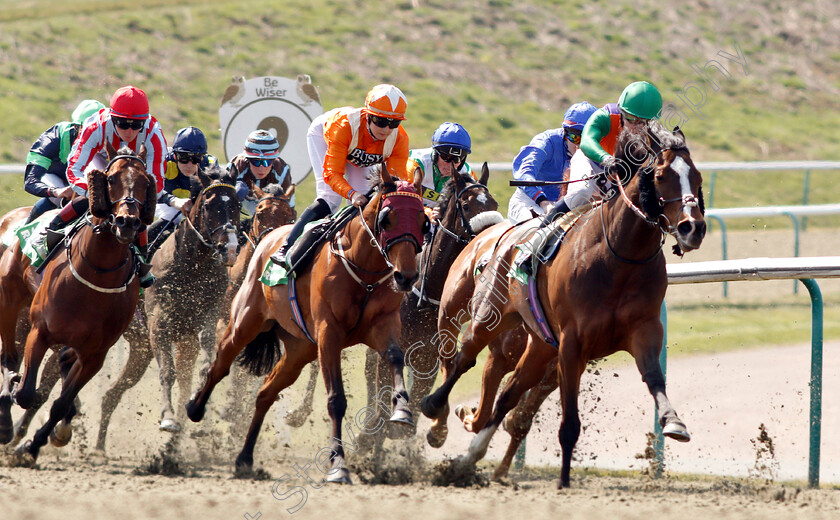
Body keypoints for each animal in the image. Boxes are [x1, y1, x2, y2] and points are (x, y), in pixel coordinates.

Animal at [0, 141, 157, 460]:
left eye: (146, 184)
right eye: (111, 179)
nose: (127, 221)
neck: (96, 275)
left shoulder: (96, 354)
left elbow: (61, 403)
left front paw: (36, 444)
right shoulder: (41, 331)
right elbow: (27, 393)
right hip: (10, 303)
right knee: (8, 358)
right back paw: (6, 418)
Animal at [188, 167, 430, 484]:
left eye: (424, 221)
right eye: (387, 218)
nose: (407, 276)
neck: (363, 270)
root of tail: (268, 239)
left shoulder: (384, 324)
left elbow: (395, 356)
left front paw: (402, 409)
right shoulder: (329, 335)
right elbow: (336, 400)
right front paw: (338, 465)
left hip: (298, 350)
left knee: (265, 393)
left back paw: (244, 457)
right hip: (245, 321)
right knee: (221, 364)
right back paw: (195, 407)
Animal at [424, 123, 704, 488]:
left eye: (697, 178)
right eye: (660, 176)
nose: (692, 227)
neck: (619, 257)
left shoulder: (643, 331)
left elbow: (655, 378)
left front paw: (674, 422)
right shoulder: (572, 344)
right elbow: (568, 422)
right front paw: (564, 478)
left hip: (540, 345)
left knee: (507, 394)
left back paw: (470, 455)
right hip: (488, 317)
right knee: (463, 358)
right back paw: (434, 408)